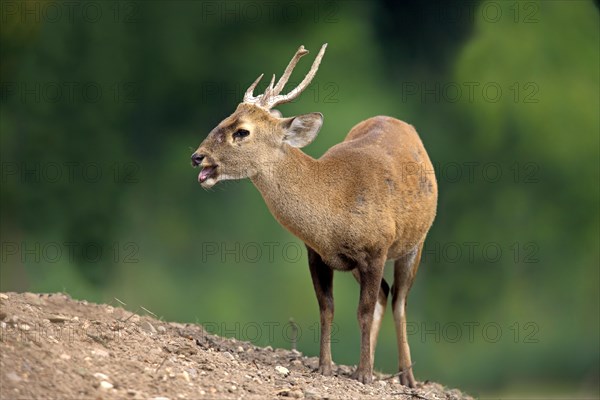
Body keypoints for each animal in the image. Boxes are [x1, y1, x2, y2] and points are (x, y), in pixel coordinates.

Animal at [191, 43, 436, 384]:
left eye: (242, 131)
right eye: (227, 116)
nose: (197, 157)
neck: (334, 204)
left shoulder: (376, 248)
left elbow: (362, 310)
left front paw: (364, 376)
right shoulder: (316, 253)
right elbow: (327, 308)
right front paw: (326, 366)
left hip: (415, 241)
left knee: (399, 300)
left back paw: (406, 377)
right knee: (386, 295)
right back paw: (367, 364)